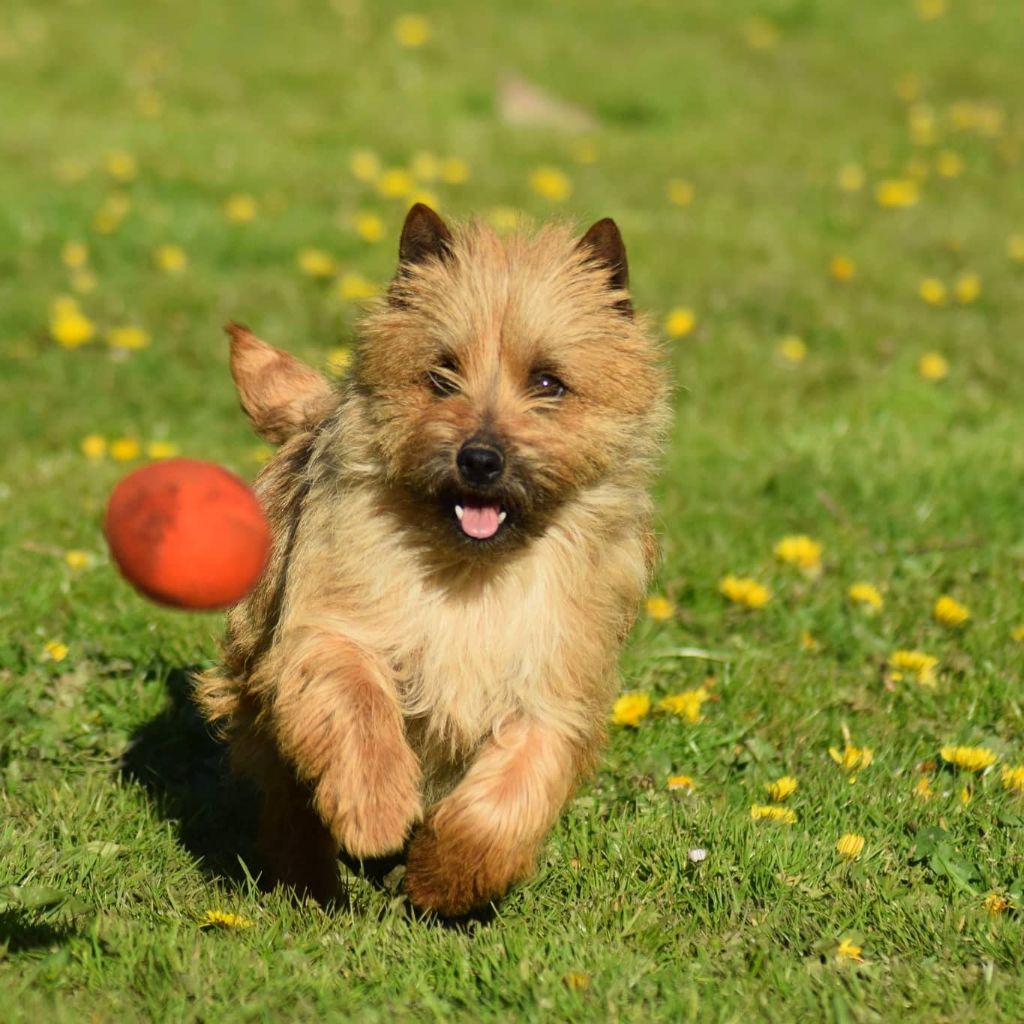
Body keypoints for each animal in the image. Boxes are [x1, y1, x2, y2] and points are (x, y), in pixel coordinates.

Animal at [194, 203, 667, 917]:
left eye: (549, 382)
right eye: (442, 375)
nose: (480, 458)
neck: (470, 575)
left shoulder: (552, 692)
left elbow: (510, 795)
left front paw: (446, 878)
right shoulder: (328, 631)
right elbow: (358, 705)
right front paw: (376, 814)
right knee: (289, 797)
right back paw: (309, 883)